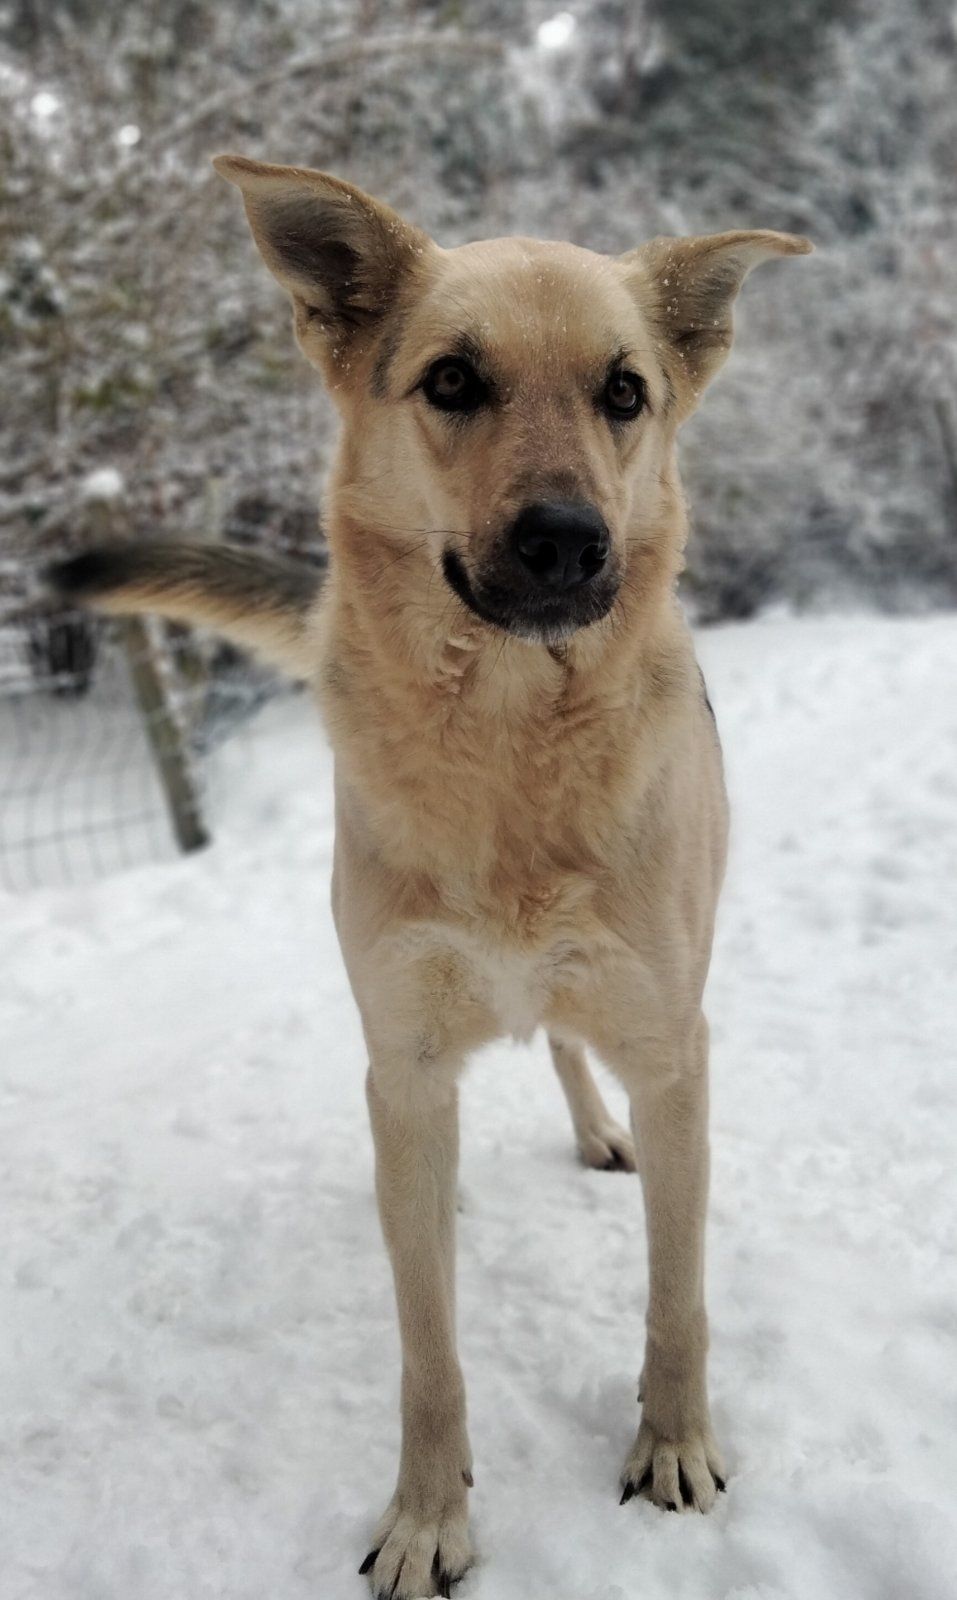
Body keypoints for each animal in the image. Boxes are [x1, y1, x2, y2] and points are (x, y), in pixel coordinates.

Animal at [52, 152, 812, 1600]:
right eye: (452, 381)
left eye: (624, 392)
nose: (569, 541)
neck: (508, 743)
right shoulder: (400, 1056)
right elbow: (426, 1349)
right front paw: (426, 1517)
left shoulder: (673, 1046)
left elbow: (675, 1294)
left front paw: (674, 1444)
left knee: (571, 1050)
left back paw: (598, 1133)